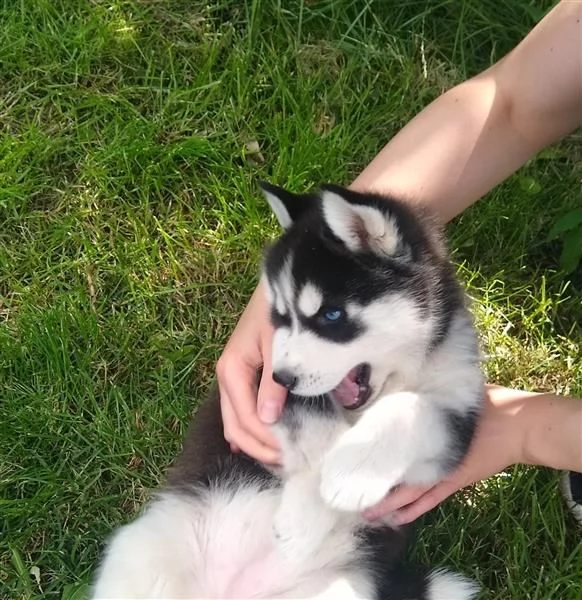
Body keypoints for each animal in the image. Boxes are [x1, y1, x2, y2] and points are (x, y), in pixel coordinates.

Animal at [91, 184, 484, 600]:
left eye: (331, 315)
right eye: (281, 316)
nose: (282, 379)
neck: (396, 377)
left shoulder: (454, 424)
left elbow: (414, 410)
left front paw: (349, 475)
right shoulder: (275, 401)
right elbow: (321, 437)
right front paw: (310, 509)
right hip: (141, 553)